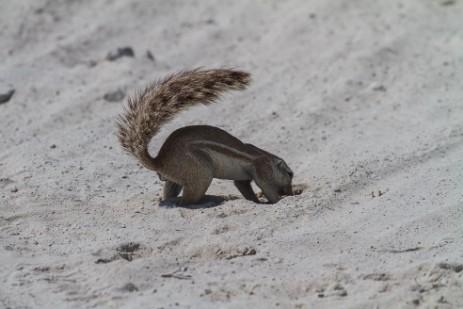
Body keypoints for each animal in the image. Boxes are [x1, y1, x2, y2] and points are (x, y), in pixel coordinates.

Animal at [118, 67, 296, 205]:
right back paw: (207, 200)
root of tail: (159, 161)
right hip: (201, 172)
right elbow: (268, 188)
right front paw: (278, 199)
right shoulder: (262, 169)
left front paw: (256, 200)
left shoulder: (243, 179)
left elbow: (244, 188)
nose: (290, 192)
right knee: (187, 202)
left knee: (171, 192)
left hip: (176, 179)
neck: (269, 160)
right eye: (290, 174)